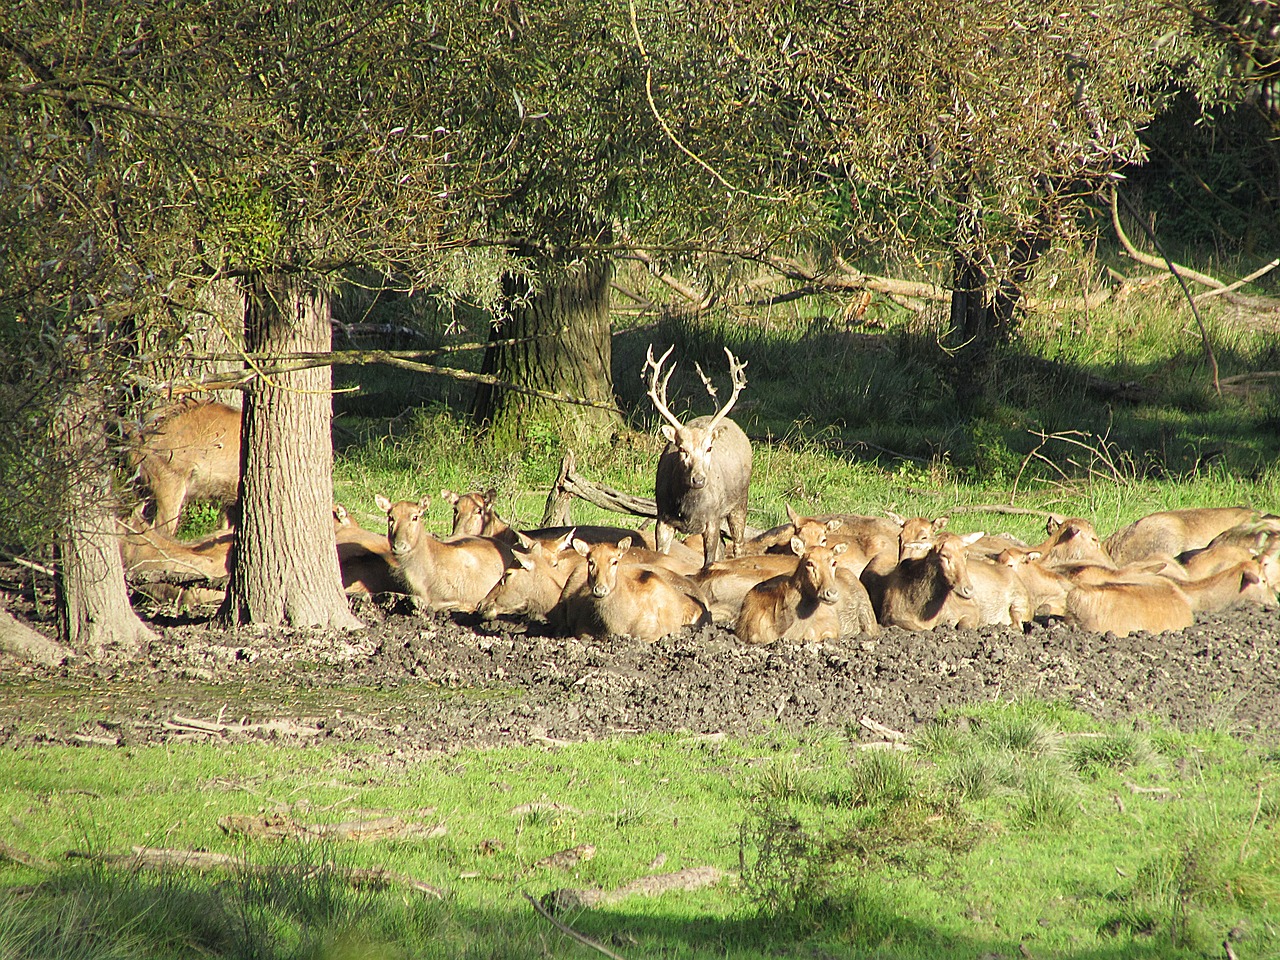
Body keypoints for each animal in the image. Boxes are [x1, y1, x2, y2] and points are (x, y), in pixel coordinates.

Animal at [650, 345, 747, 570]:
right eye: (682, 448)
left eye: (709, 448)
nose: (699, 479)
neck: (689, 509)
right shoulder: (663, 517)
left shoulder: (712, 518)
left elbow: (708, 561)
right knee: (723, 547)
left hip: (740, 502)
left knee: (738, 545)